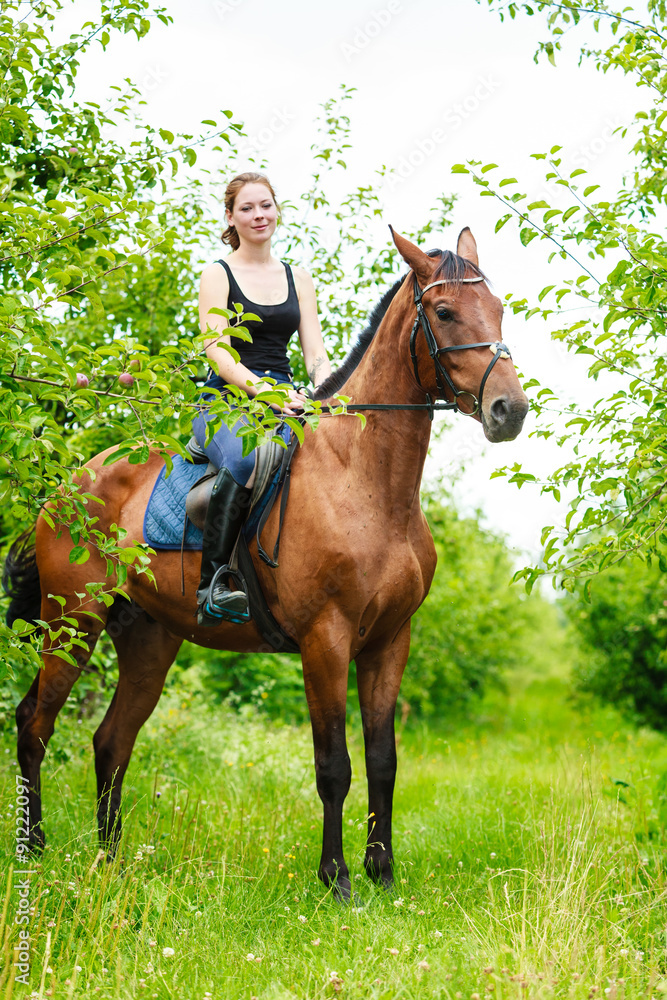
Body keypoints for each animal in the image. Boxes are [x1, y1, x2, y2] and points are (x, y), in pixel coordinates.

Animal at [6, 228, 528, 900]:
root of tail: (67, 486)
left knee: (111, 740)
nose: (508, 410)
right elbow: (334, 765)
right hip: (72, 623)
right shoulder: (325, 639)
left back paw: (110, 858)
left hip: (148, 639)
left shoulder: (390, 641)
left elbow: (383, 761)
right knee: (34, 722)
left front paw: (382, 872)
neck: (365, 482)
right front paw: (336, 880)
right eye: (443, 312)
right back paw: (32, 849)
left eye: (498, 309)